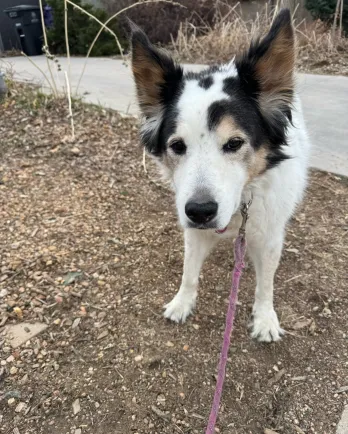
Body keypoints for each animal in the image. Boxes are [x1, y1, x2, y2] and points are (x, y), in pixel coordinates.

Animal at [130, 9, 310, 342]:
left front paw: (265, 318)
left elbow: (266, 283)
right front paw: (182, 302)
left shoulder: (268, 234)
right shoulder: (193, 230)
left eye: (234, 143)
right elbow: (189, 271)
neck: (240, 205)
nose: (200, 211)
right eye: (177, 146)